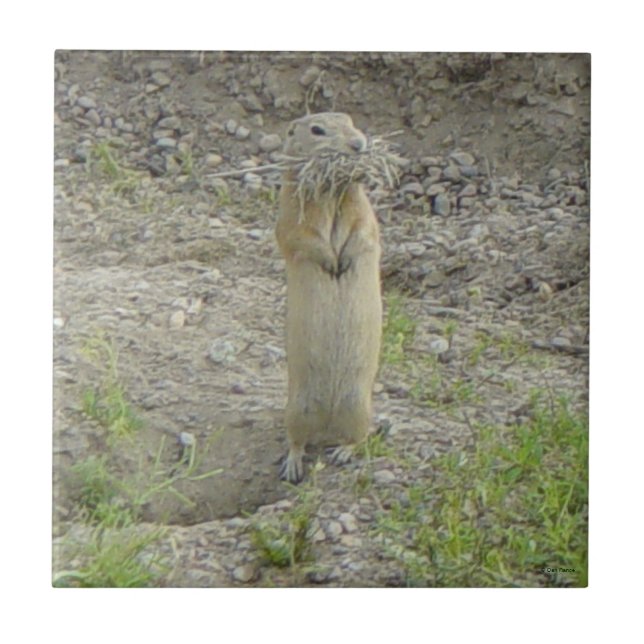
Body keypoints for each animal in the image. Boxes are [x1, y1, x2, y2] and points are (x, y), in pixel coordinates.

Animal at [275, 112, 382, 483]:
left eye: (351, 120)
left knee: (359, 437)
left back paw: (342, 453)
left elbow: (364, 232)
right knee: (296, 439)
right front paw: (331, 262)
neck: (333, 192)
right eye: (316, 130)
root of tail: (326, 428)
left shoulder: (363, 210)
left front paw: (343, 262)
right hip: (296, 408)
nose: (359, 144)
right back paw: (292, 466)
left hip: (360, 407)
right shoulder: (291, 211)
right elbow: (302, 237)